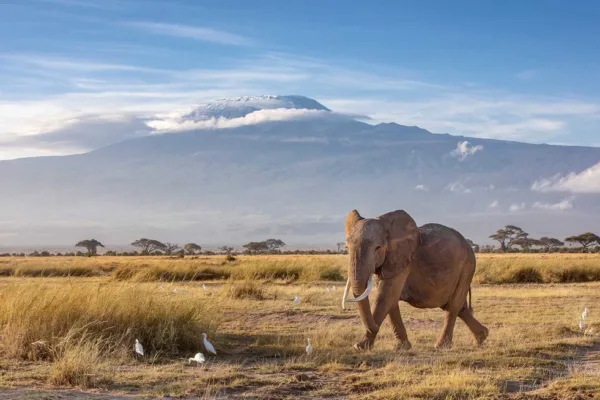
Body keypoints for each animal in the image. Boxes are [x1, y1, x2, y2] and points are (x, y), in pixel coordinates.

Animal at [342, 209, 488, 350]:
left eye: (378, 248)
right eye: (347, 248)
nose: (376, 327)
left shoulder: (403, 261)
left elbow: (384, 298)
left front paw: (359, 347)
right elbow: (391, 301)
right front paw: (402, 347)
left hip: (467, 267)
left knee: (453, 306)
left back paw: (441, 346)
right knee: (458, 306)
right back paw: (482, 337)